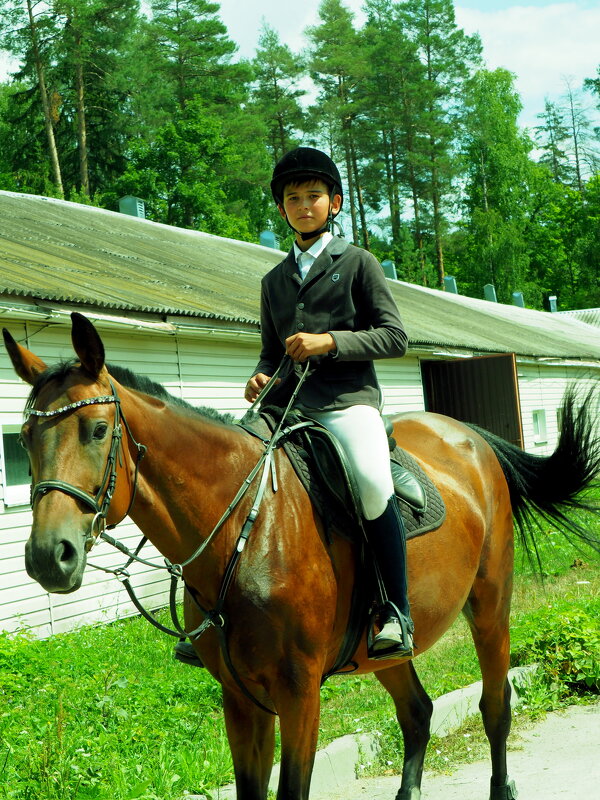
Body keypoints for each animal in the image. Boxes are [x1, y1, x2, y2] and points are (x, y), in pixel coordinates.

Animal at [4, 314, 600, 800]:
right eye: (26, 437)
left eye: (98, 430)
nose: (48, 557)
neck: (247, 527)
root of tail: (467, 435)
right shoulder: (241, 699)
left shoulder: (299, 695)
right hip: (380, 651)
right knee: (417, 713)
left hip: (490, 606)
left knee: (495, 707)